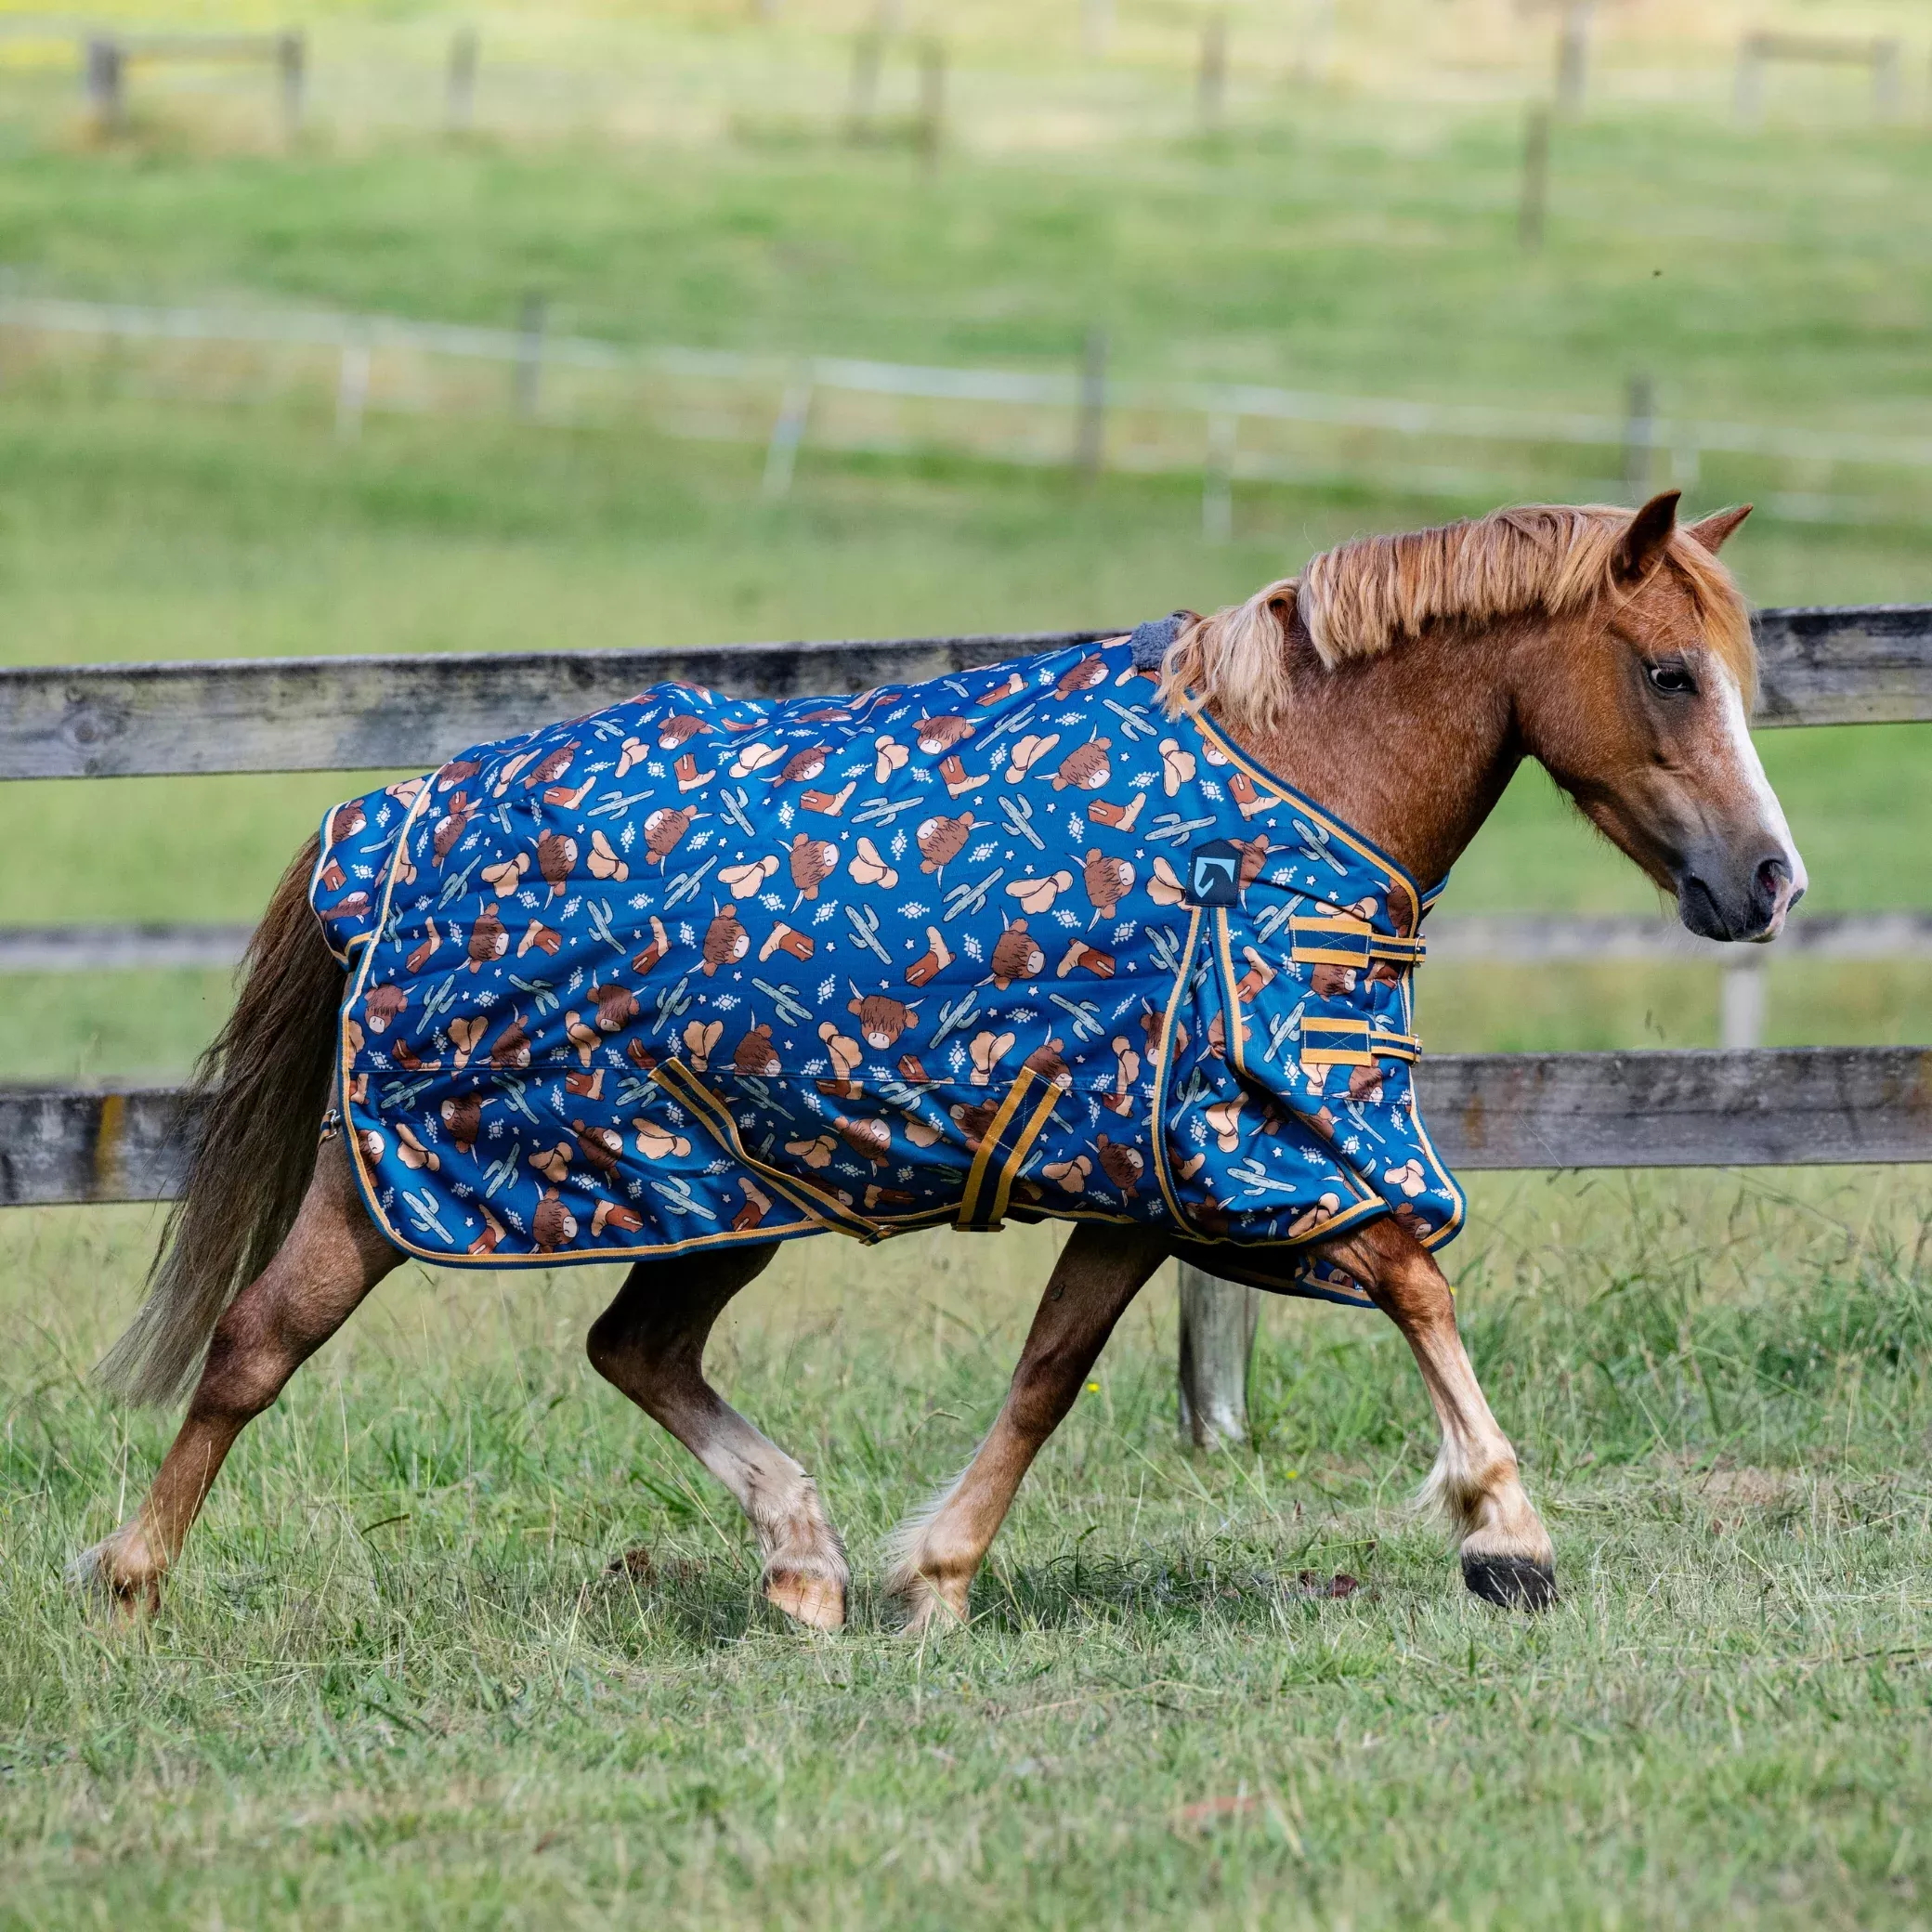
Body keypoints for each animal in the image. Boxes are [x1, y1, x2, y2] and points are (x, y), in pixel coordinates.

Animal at [74, 489, 1804, 1632]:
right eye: (1669, 671)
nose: (1769, 883)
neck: (1283, 792)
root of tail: (392, 814)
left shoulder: (1144, 1169)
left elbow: (1050, 1369)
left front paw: (937, 1578)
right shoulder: (1256, 1146)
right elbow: (1412, 1278)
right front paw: (1508, 1536)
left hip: (728, 1189)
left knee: (636, 1350)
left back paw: (805, 1569)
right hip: (410, 1184)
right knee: (257, 1343)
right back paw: (129, 1581)